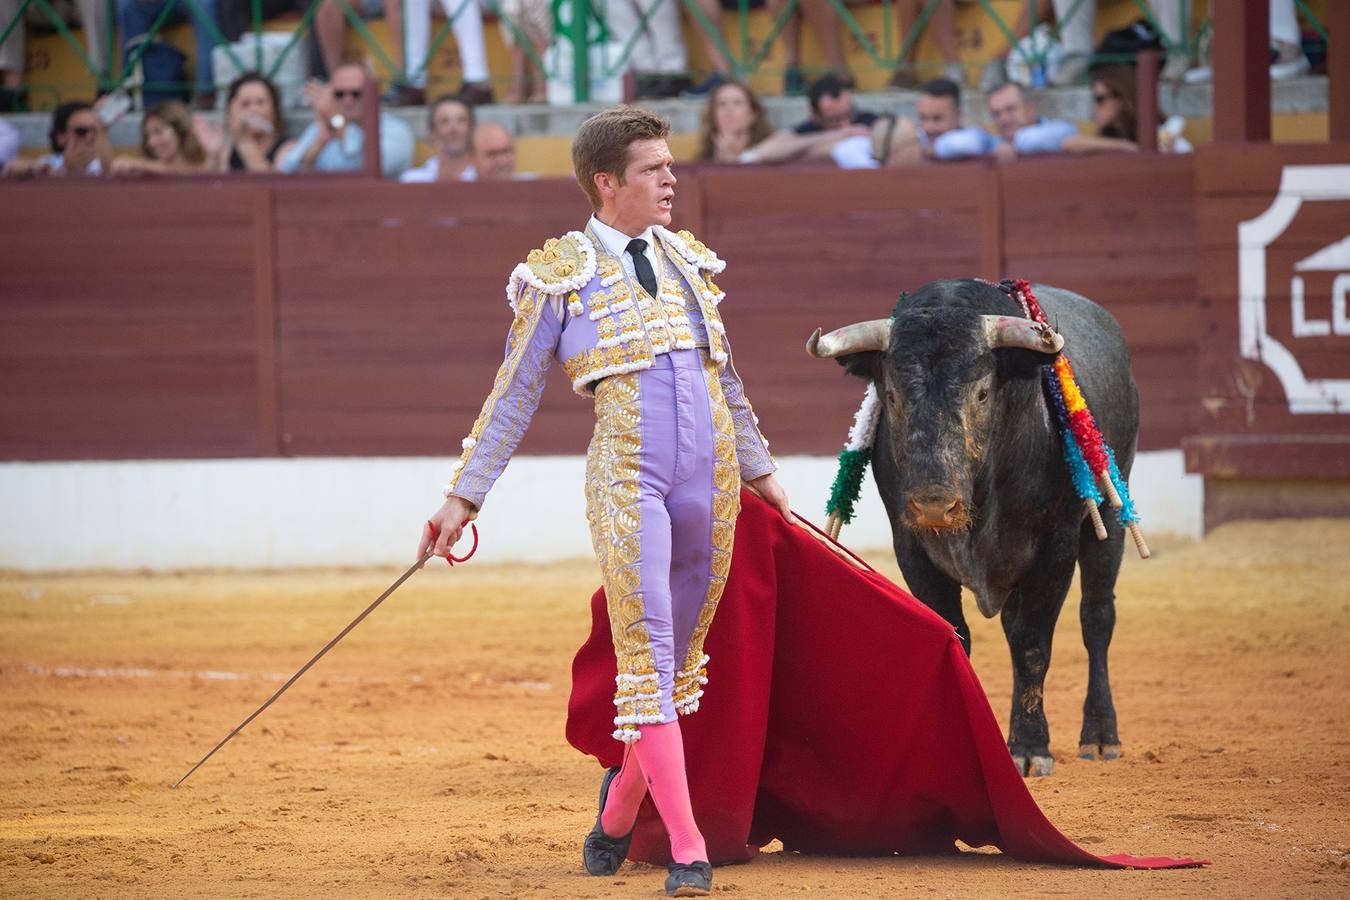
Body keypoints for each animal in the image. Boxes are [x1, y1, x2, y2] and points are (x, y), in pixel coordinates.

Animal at [810, 277, 1139, 777]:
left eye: (982, 393)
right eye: (892, 397)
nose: (933, 505)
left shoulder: (1056, 547)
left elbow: (1033, 645)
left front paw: (1030, 749)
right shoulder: (913, 550)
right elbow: (957, 635)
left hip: (1109, 518)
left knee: (1096, 617)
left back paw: (1100, 736)